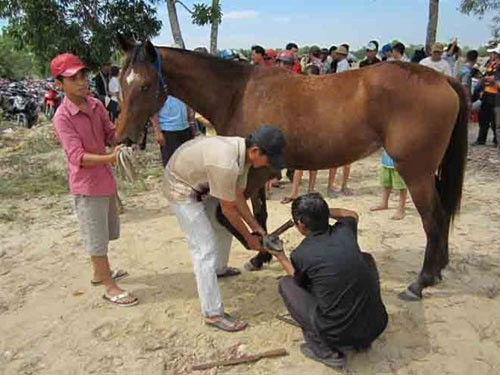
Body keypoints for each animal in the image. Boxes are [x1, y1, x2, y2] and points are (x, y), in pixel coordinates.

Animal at [116, 37, 468, 302]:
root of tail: (443, 78)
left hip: (415, 172)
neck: (238, 93)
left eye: (145, 85)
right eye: (120, 81)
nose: (123, 136)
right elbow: (258, 213)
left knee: (433, 219)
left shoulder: (254, 175)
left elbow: (229, 215)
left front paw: (258, 247)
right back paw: (438, 270)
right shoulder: (253, 173)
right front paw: (262, 254)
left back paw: (421, 282)